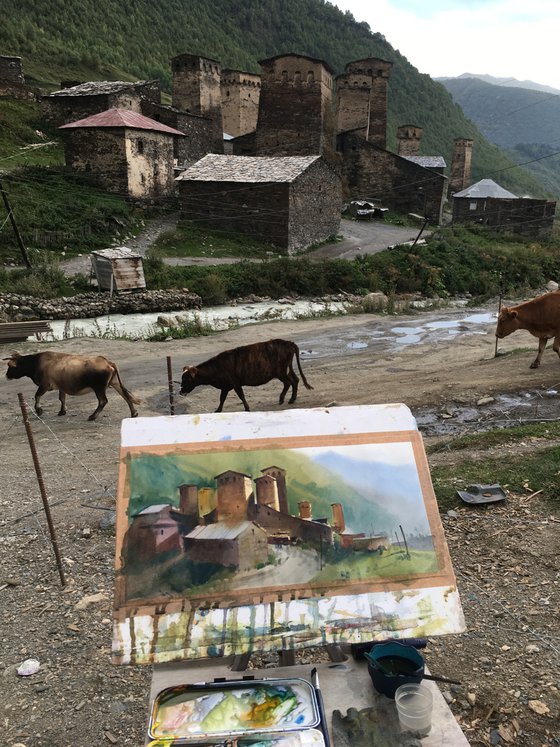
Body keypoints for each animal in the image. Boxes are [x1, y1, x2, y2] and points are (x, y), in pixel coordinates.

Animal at [4, 350, 140, 420]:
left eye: (10, 366)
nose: (6, 375)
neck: (36, 363)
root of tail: (107, 361)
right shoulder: (61, 386)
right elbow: (62, 398)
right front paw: (62, 411)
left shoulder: (44, 385)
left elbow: (37, 396)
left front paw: (39, 410)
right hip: (115, 382)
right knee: (125, 396)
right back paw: (134, 413)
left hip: (99, 387)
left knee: (103, 401)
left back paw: (92, 416)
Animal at [179, 340, 312, 414]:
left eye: (186, 379)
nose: (180, 391)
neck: (217, 367)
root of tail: (289, 343)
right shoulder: (225, 386)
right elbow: (222, 399)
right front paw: (218, 410)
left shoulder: (235, 383)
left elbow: (241, 395)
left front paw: (247, 408)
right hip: (286, 369)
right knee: (295, 380)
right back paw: (291, 399)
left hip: (280, 372)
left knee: (289, 382)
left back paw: (283, 399)